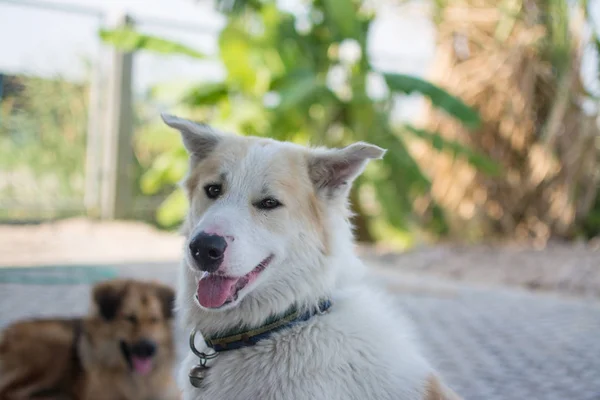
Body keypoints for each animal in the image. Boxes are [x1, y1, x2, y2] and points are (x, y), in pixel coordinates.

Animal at [0, 280, 180, 400]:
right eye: (129, 318)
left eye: (154, 320)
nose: (149, 348)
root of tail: (5, 333)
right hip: (55, 342)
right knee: (8, 393)